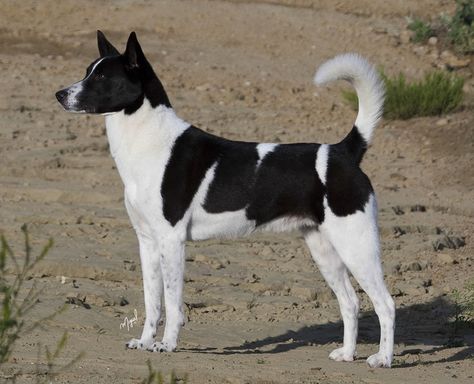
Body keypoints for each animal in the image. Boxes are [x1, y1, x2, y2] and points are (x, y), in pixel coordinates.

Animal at [56, 30, 396, 368]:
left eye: (101, 76)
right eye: (88, 70)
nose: (59, 94)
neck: (149, 140)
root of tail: (343, 152)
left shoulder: (171, 240)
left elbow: (172, 302)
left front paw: (166, 345)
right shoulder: (147, 242)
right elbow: (152, 301)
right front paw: (144, 342)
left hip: (357, 247)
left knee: (385, 304)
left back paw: (383, 358)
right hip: (324, 249)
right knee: (351, 302)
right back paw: (347, 354)